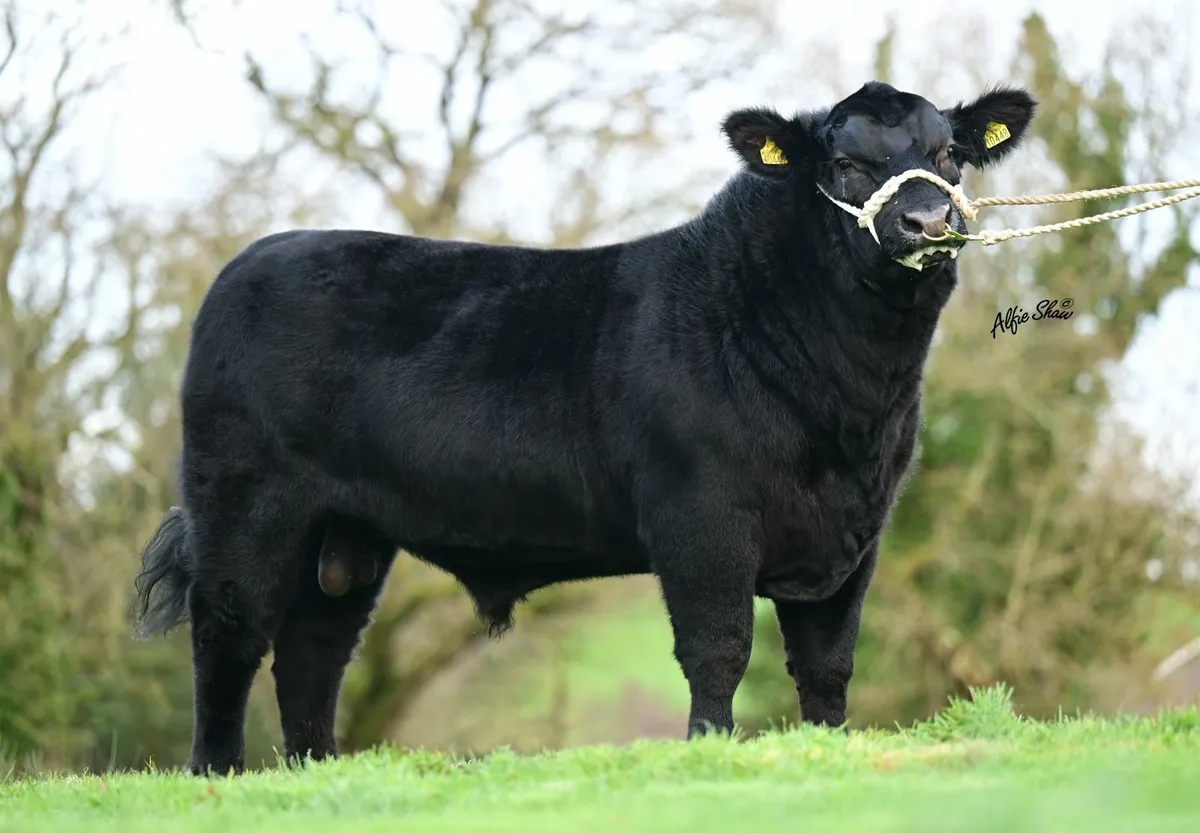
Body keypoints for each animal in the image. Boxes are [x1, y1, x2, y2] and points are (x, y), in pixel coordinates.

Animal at [132, 81, 1037, 776]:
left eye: (949, 156)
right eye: (846, 164)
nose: (929, 223)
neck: (847, 407)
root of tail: (254, 259)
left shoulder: (856, 530)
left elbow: (826, 664)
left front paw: (825, 749)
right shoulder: (701, 516)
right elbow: (718, 648)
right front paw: (709, 751)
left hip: (346, 533)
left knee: (312, 651)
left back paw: (315, 769)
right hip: (243, 503)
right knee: (228, 633)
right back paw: (216, 773)